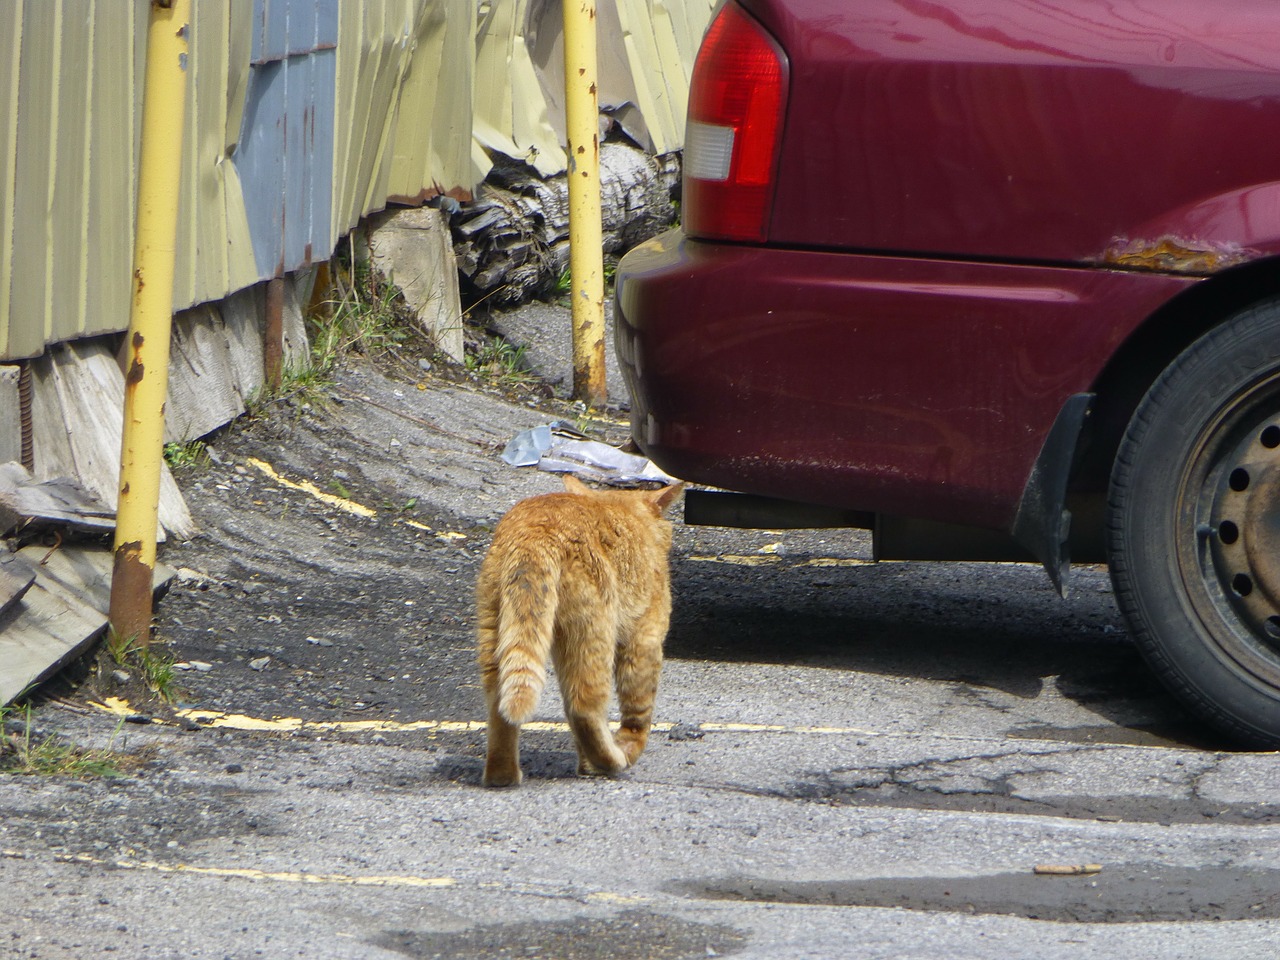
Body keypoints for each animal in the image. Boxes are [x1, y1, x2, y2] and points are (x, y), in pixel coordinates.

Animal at [476, 476, 686, 788]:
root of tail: (534, 529)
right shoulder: (645, 635)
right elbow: (638, 709)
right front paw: (625, 748)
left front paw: (587, 765)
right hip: (593, 630)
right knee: (583, 705)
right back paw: (611, 760)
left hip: (495, 626)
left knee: (498, 703)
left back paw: (502, 776)